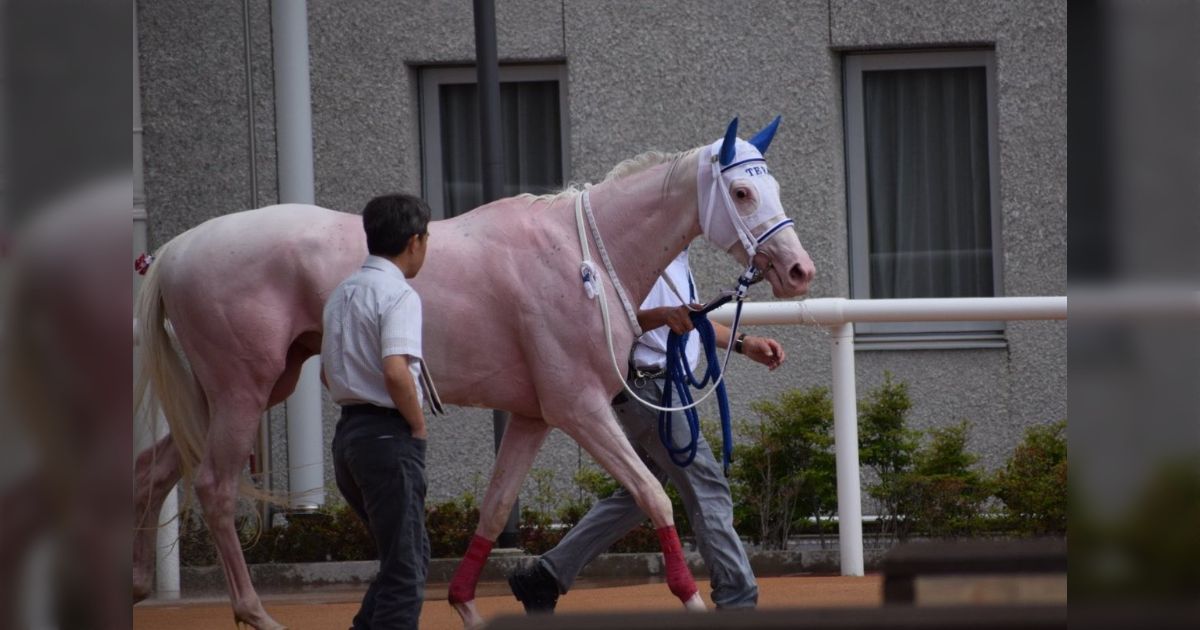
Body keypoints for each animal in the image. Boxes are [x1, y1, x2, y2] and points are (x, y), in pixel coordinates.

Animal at [133, 116, 815, 629]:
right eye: (744, 193)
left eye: (775, 185)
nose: (799, 270)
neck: (585, 257)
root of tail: (176, 250)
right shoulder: (578, 407)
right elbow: (654, 496)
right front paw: (692, 597)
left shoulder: (533, 415)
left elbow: (493, 509)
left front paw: (465, 603)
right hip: (242, 387)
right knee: (215, 486)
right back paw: (253, 612)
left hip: (241, 387)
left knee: (158, 470)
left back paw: (140, 582)